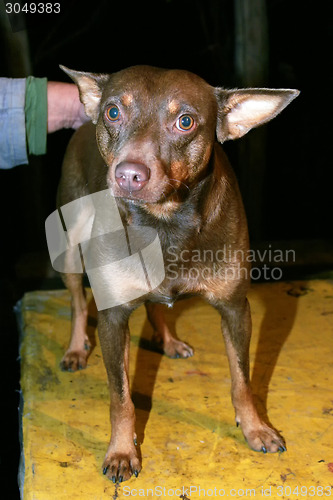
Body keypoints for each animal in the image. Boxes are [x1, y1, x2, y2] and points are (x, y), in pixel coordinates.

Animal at [55, 64, 296, 482]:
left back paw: (169, 341)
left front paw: (256, 428)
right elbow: (120, 397)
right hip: (70, 246)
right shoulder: (113, 318)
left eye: (185, 121)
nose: (128, 175)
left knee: (156, 303)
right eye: (113, 112)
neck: (164, 223)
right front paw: (122, 451)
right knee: (77, 302)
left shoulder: (236, 309)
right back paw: (75, 348)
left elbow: (242, 380)